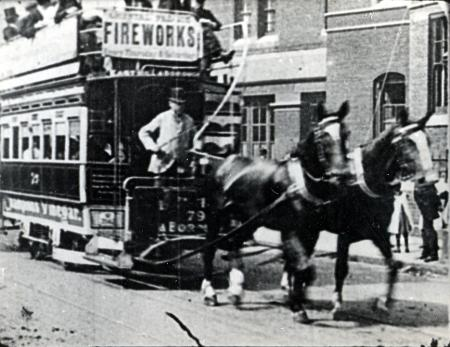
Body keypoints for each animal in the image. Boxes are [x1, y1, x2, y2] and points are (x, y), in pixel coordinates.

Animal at [200, 100, 352, 324]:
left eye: (346, 133)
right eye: (322, 136)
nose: (341, 174)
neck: (301, 182)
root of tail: (223, 163)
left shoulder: (311, 232)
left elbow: (301, 268)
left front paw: (297, 299)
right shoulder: (292, 230)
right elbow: (302, 268)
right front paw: (296, 305)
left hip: (249, 220)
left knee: (235, 243)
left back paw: (236, 290)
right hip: (215, 215)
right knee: (209, 249)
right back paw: (210, 292)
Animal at [282, 110, 436, 320]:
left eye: (427, 140)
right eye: (407, 143)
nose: (430, 179)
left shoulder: (379, 233)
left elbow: (393, 264)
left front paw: (383, 302)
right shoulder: (344, 235)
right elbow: (341, 268)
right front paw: (337, 303)